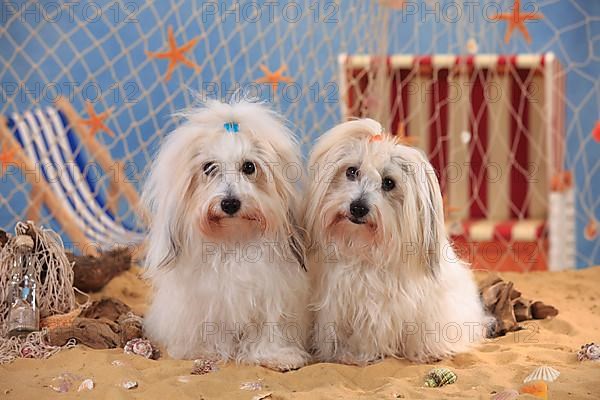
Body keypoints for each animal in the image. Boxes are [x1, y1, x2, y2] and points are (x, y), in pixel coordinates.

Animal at [141, 100, 310, 372]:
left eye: (249, 167)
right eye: (209, 168)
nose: (230, 203)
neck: (233, 240)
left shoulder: (273, 295)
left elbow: (270, 327)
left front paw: (275, 356)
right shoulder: (204, 299)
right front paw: (205, 351)